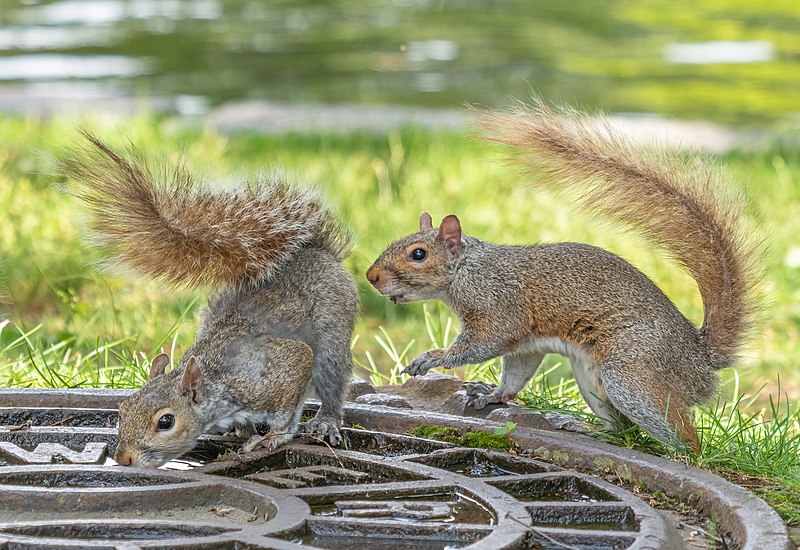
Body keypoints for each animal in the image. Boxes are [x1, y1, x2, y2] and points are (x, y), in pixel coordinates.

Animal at [62, 132, 360, 468]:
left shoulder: (281, 369)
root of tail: (317, 252)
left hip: (332, 338)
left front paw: (270, 438)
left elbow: (286, 411)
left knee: (332, 383)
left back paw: (326, 421)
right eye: (123, 410)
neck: (217, 381)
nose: (123, 458)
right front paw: (240, 431)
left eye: (166, 421)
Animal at [366, 98, 760, 452]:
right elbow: (515, 373)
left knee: (682, 437)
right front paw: (491, 394)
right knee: (622, 430)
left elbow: (484, 343)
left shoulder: (499, 305)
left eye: (418, 254)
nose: (371, 276)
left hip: (630, 373)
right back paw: (585, 428)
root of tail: (699, 361)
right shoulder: (525, 346)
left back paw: (679, 451)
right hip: (590, 378)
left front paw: (432, 357)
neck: (467, 268)